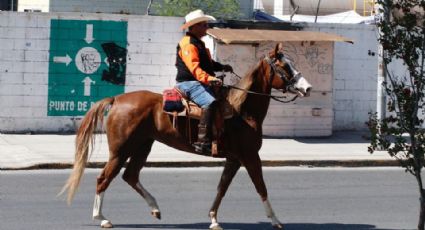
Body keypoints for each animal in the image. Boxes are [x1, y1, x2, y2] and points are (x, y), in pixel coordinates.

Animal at [58, 42, 312, 229]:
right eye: (285, 66)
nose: (307, 88)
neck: (242, 109)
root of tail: (117, 99)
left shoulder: (234, 159)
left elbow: (222, 188)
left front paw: (213, 218)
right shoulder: (250, 156)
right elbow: (261, 186)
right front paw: (276, 220)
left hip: (143, 145)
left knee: (130, 175)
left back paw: (155, 208)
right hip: (121, 151)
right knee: (104, 179)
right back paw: (101, 218)